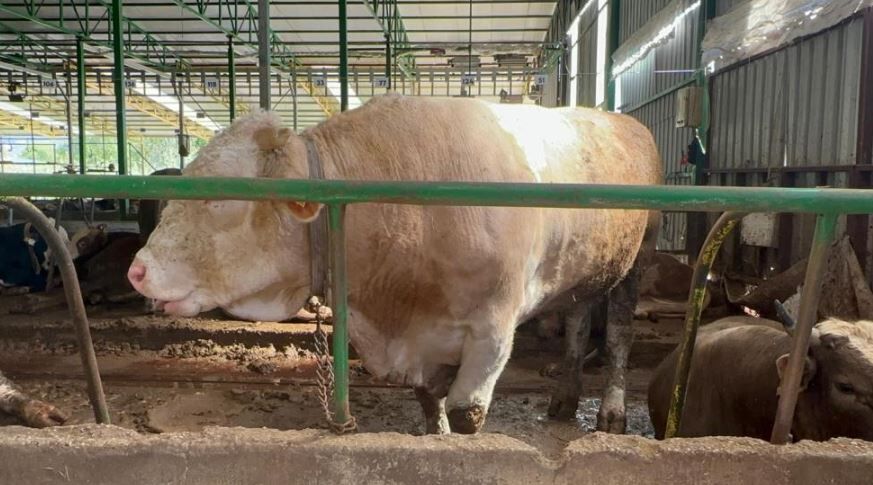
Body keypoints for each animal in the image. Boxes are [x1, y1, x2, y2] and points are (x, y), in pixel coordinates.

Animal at [127, 94, 662, 434]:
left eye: (219, 197)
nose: (138, 270)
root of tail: (622, 121)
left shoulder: (492, 330)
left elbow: (466, 414)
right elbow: (430, 403)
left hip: (639, 258)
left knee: (617, 336)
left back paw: (611, 410)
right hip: (588, 267)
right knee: (578, 320)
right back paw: (565, 398)